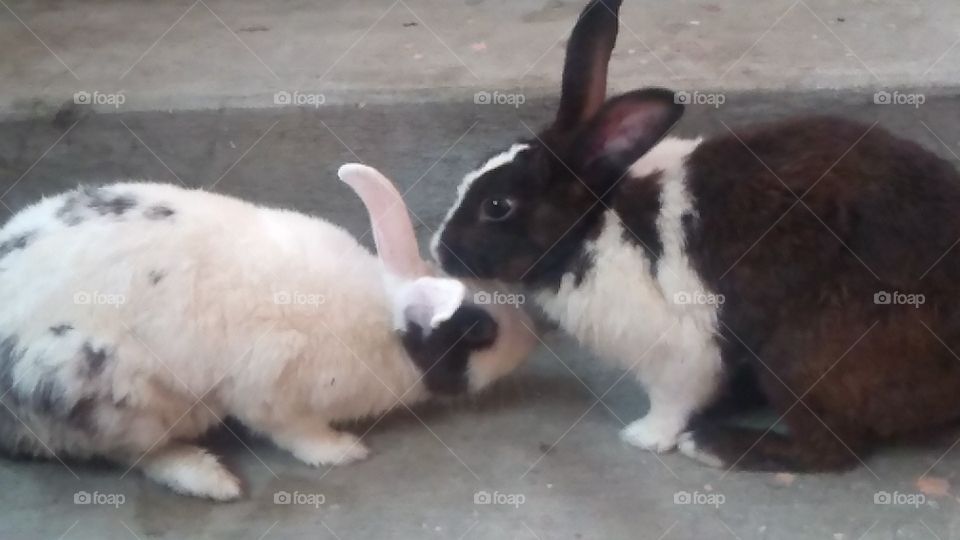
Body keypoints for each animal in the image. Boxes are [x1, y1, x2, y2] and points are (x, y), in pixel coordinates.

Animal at [0, 163, 537, 499]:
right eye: (480, 331)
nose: (530, 339)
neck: (383, 321)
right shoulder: (272, 388)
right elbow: (294, 431)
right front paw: (342, 452)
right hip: (108, 392)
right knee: (134, 454)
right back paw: (211, 480)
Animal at [430, 0, 960, 472]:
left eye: (497, 207)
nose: (438, 251)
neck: (592, 226)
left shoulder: (680, 352)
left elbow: (671, 401)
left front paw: (644, 437)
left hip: (801, 357)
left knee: (832, 449)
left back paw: (712, 445)